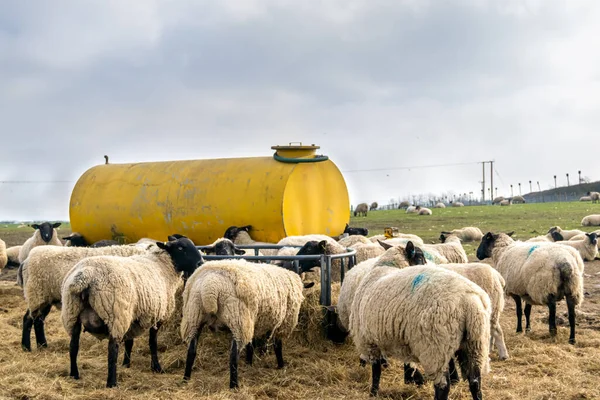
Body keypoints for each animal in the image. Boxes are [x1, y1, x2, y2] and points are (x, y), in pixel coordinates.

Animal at [18, 244, 155, 350]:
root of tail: (26, 260)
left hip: (45, 298)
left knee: (38, 320)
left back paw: (42, 345)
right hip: (35, 294)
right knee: (28, 319)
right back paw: (26, 347)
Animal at [62, 236, 204, 386]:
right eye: (181, 248)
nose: (200, 262)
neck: (163, 265)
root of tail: (85, 276)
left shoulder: (133, 316)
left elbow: (129, 342)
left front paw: (126, 364)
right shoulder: (157, 316)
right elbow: (152, 343)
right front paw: (156, 367)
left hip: (72, 313)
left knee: (73, 346)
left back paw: (74, 374)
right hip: (116, 315)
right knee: (112, 349)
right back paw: (112, 383)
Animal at [179, 258, 310, 390]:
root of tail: (210, 288)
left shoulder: (253, 322)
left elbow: (251, 345)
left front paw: (249, 362)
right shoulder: (280, 323)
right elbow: (276, 345)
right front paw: (280, 364)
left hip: (194, 317)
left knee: (191, 351)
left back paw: (186, 379)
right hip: (237, 320)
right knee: (233, 356)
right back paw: (234, 385)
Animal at [350, 264, 490, 398]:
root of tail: (469, 300)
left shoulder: (368, 341)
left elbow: (376, 370)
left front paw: (373, 392)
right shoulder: (403, 342)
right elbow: (407, 364)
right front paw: (414, 379)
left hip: (435, 348)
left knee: (443, 386)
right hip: (475, 345)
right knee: (475, 383)